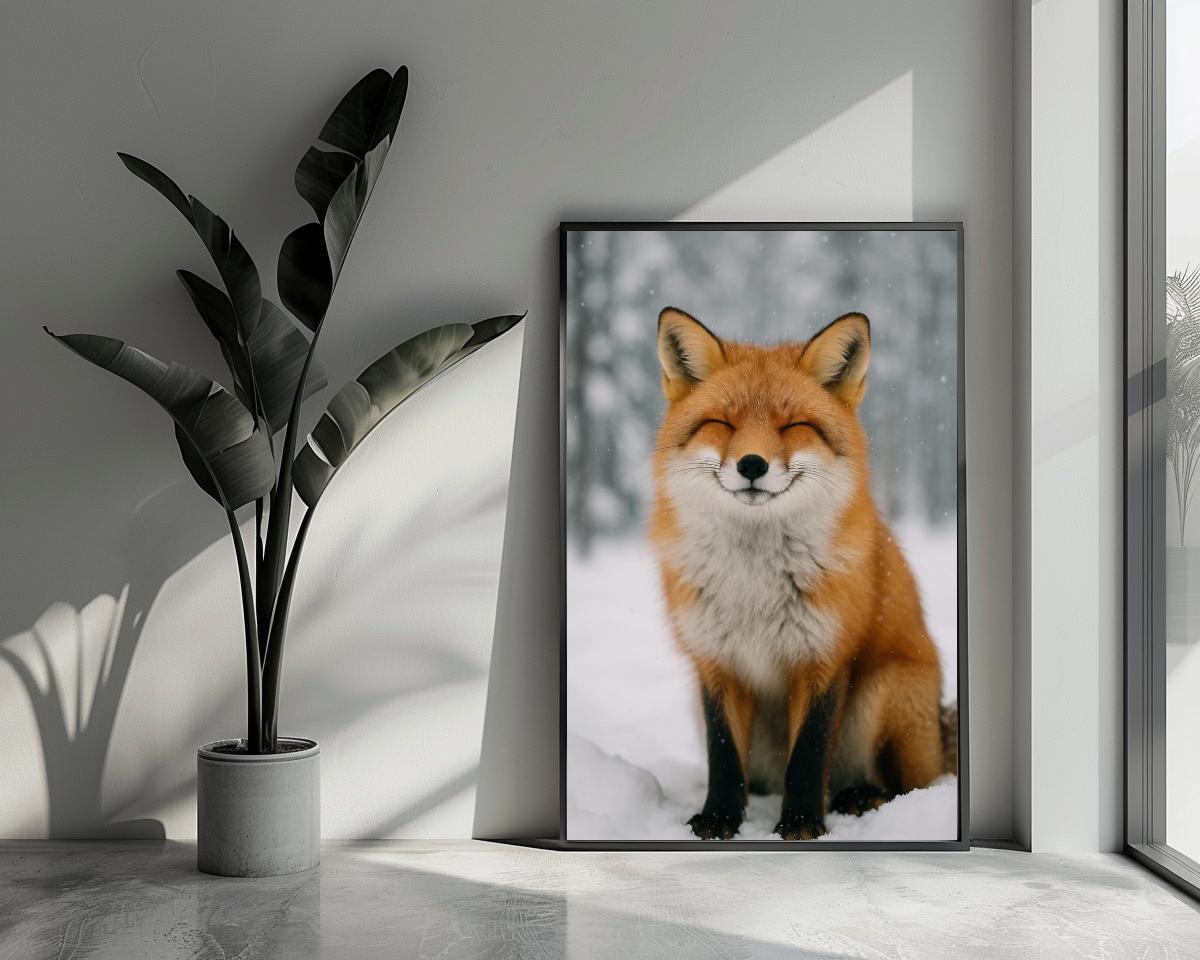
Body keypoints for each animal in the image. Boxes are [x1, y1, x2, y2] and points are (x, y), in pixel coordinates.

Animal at [649, 306, 952, 840]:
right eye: (722, 423)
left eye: (793, 426)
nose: (752, 464)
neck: (754, 583)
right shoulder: (714, 661)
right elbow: (724, 756)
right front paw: (719, 819)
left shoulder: (824, 656)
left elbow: (808, 757)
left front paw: (802, 825)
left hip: (883, 691)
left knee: (907, 785)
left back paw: (860, 797)